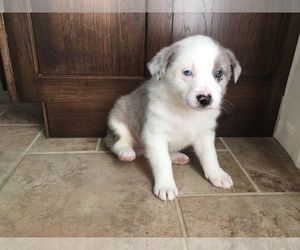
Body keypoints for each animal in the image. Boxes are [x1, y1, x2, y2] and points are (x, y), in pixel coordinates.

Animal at [103, 34, 241, 201]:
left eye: (219, 73)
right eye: (187, 72)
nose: (205, 99)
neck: (185, 110)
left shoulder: (205, 134)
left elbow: (210, 155)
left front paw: (217, 175)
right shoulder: (155, 135)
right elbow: (162, 162)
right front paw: (166, 186)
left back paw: (176, 156)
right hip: (118, 117)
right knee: (118, 142)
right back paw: (126, 152)